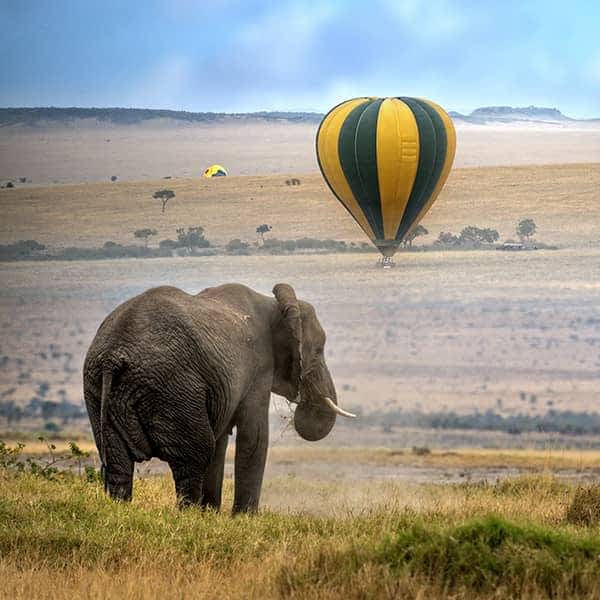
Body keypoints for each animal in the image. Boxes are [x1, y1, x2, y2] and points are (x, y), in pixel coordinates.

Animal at [84, 284, 356, 512]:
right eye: (319, 350)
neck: (274, 304)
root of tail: (113, 356)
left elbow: (222, 439)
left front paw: (212, 514)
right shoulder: (258, 367)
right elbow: (254, 437)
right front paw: (243, 519)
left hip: (98, 390)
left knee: (118, 462)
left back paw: (121, 510)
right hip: (173, 388)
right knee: (195, 454)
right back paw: (188, 515)